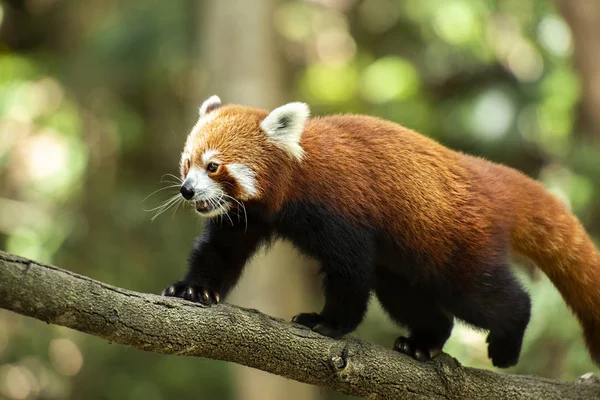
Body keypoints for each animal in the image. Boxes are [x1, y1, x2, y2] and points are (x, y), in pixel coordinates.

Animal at [163, 94, 600, 368]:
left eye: (213, 166)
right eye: (187, 164)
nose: (187, 190)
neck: (291, 183)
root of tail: (483, 174)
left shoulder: (339, 208)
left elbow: (350, 271)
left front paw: (328, 323)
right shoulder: (249, 215)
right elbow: (221, 251)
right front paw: (194, 289)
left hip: (457, 243)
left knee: (486, 297)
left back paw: (507, 340)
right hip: (407, 261)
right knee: (407, 296)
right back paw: (423, 343)